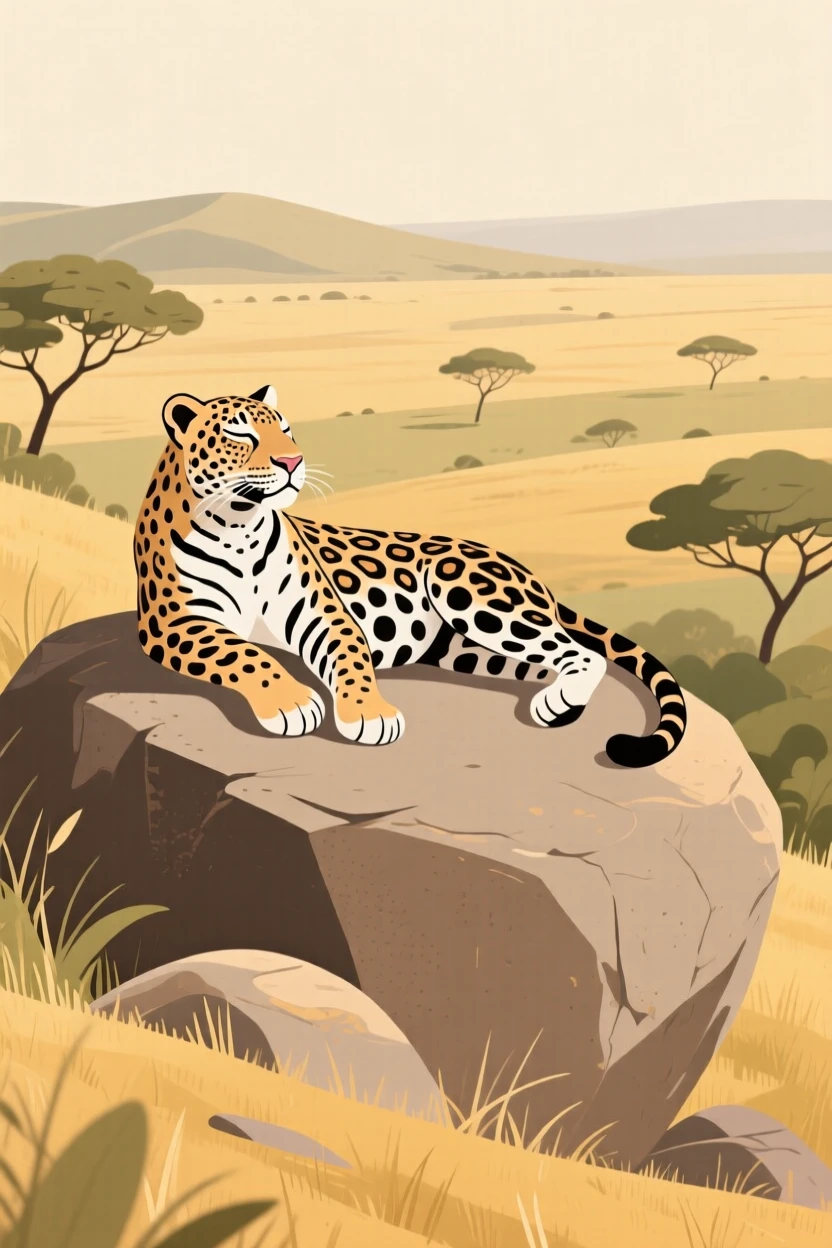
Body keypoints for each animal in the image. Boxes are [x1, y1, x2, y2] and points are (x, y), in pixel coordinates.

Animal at [134, 385, 687, 767]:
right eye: (239, 434)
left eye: (286, 430)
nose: (292, 460)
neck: (239, 525)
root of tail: (529, 573)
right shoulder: (173, 623)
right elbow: (243, 653)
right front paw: (292, 701)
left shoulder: (322, 613)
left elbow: (350, 657)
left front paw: (369, 714)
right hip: (466, 649)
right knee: (551, 658)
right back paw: (555, 702)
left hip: (470, 593)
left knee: (584, 651)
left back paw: (558, 702)